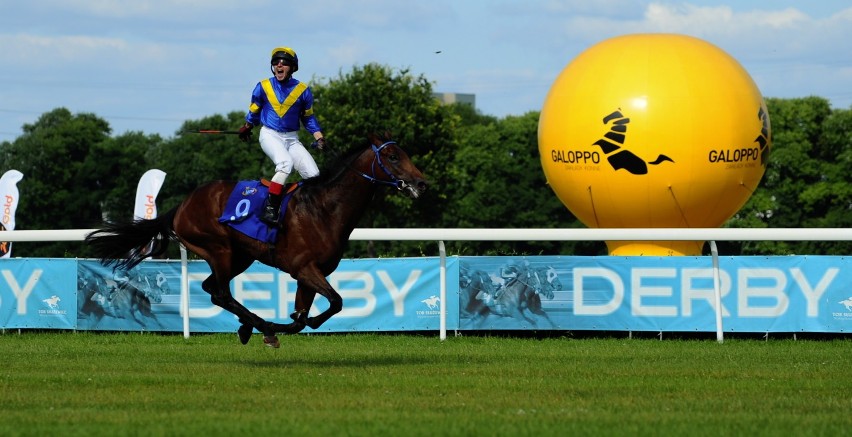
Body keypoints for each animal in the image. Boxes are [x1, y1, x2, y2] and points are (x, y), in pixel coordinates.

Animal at [86, 133, 426, 348]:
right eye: (393, 156)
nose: (421, 183)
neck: (324, 209)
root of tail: (181, 205)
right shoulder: (303, 268)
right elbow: (335, 302)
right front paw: (278, 326)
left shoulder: (309, 274)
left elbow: (306, 316)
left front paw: (293, 320)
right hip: (218, 248)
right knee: (221, 294)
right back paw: (261, 326)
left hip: (241, 255)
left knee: (212, 289)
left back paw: (251, 325)